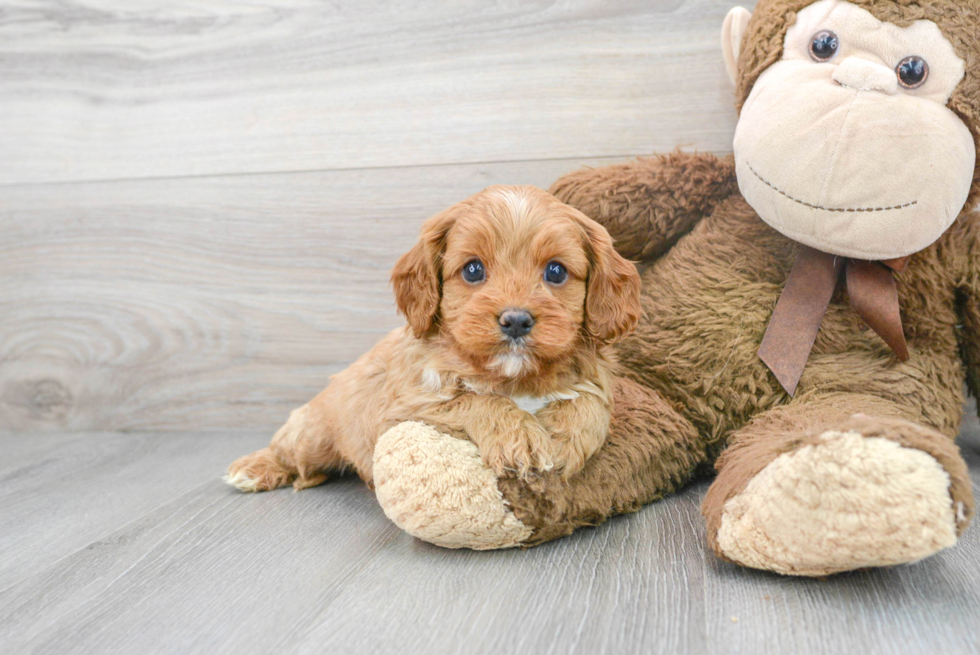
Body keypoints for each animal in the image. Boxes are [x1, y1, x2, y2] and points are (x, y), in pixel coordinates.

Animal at [224, 184, 644, 492]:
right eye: (473, 270)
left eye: (556, 272)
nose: (516, 321)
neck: (514, 379)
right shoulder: (407, 408)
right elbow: (474, 399)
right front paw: (519, 437)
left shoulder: (594, 378)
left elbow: (590, 403)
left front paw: (565, 437)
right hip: (312, 433)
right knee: (288, 450)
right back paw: (253, 467)